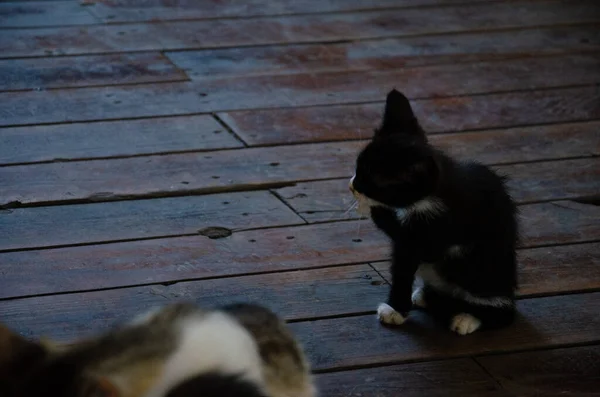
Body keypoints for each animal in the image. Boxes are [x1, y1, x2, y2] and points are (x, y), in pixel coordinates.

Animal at [350, 89, 516, 334]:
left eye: (371, 182)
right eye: (358, 168)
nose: (352, 186)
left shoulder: (440, 231)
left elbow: (410, 240)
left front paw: (371, 207)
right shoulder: (405, 249)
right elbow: (401, 270)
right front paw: (396, 309)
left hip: (481, 272)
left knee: (502, 310)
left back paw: (468, 317)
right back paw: (429, 296)